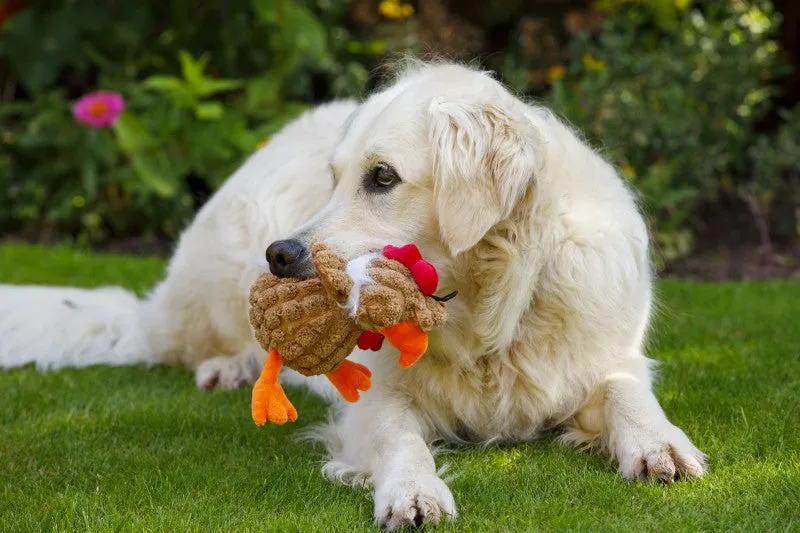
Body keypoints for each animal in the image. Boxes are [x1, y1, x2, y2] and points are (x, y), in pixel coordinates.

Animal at [0, 61, 704, 528]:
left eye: (383, 177)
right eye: (332, 179)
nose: (281, 256)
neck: (486, 321)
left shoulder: (609, 356)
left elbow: (626, 393)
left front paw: (659, 444)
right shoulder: (376, 397)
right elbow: (400, 437)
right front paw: (413, 491)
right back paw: (226, 368)